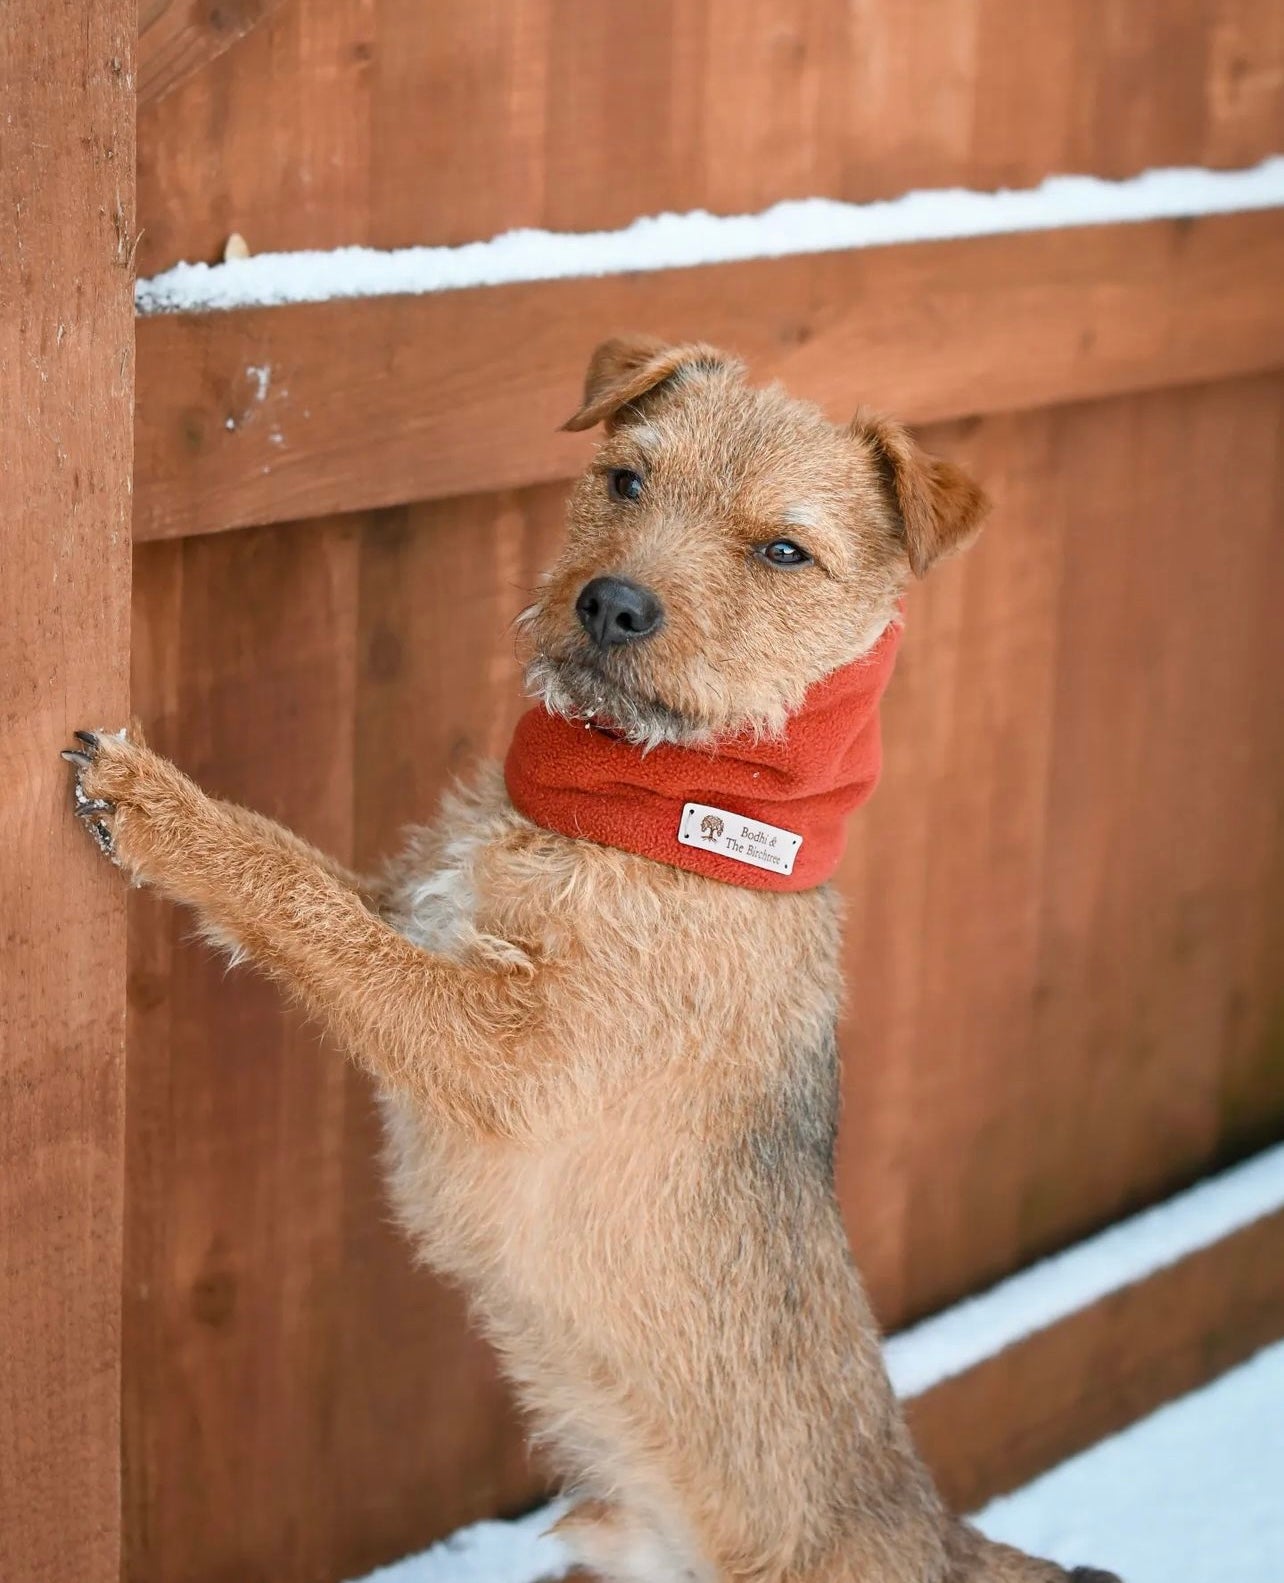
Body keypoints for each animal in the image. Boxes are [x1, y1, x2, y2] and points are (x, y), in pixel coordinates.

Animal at [65, 337, 1120, 1583]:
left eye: (784, 550)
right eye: (626, 478)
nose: (611, 601)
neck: (648, 805)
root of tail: (944, 1532)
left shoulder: (511, 1054)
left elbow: (307, 910)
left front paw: (158, 808)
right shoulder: (420, 916)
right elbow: (308, 870)